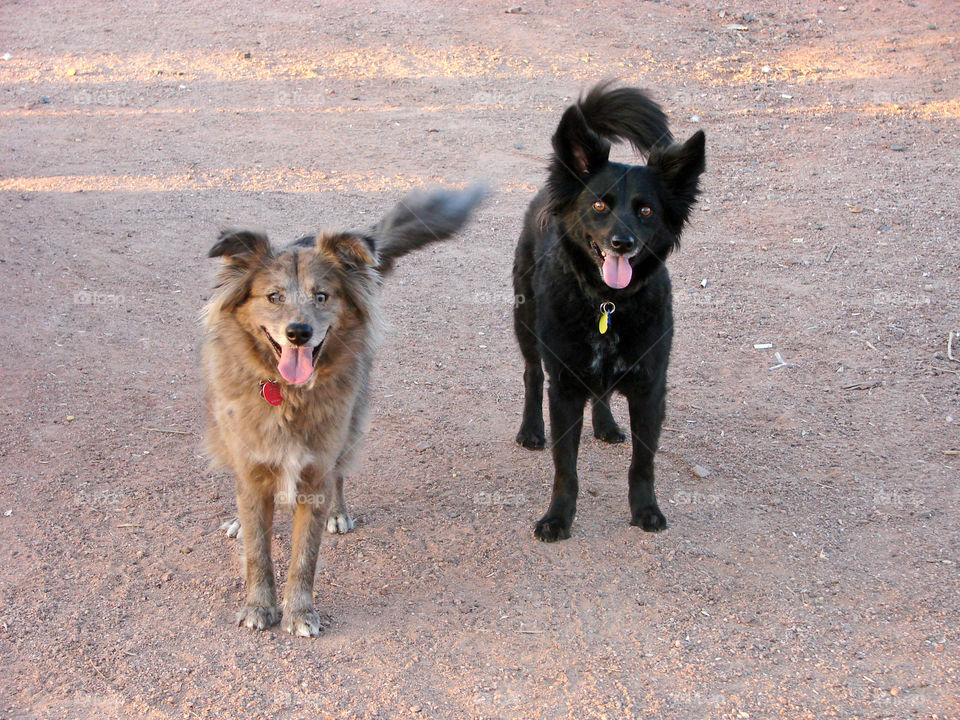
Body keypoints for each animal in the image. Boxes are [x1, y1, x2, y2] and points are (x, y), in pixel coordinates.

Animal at [205, 187, 484, 636]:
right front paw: (259, 606)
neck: (290, 395)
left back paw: (339, 514)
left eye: (322, 296)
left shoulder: (316, 469)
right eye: (273, 296)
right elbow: (257, 552)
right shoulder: (251, 463)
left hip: (349, 425)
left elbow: (304, 557)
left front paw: (300, 612)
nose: (298, 333)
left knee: (340, 472)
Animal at [510, 83, 704, 540]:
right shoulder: (563, 389)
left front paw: (646, 510)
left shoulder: (651, 389)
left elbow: (643, 464)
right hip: (525, 322)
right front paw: (557, 518)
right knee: (531, 374)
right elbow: (565, 466)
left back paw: (605, 425)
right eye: (600, 206)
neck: (607, 303)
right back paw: (530, 430)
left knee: (600, 391)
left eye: (646, 210)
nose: (622, 243)